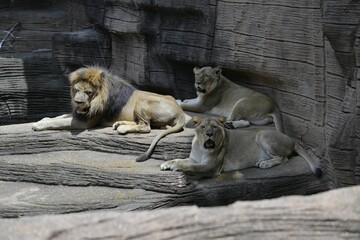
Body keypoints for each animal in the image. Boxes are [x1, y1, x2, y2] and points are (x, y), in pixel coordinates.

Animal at [32, 66, 186, 161]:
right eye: (76, 89)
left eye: (88, 92)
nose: (77, 102)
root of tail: (181, 112)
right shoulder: (80, 113)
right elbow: (61, 116)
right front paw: (43, 119)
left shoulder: (84, 121)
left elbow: (58, 121)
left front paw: (37, 125)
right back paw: (119, 123)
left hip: (142, 101)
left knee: (146, 127)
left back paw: (122, 128)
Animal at [162, 116, 322, 178]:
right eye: (203, 127)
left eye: (214, 127)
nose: (209, 134)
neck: (202, 147)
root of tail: (292, 140)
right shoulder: (194, 159)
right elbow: (180, 159)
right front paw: (167, 164)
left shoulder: (211, 167)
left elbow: (191, 166)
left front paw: (177, 167)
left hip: (262, 134)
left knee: (284, 158)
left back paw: (264, 163)